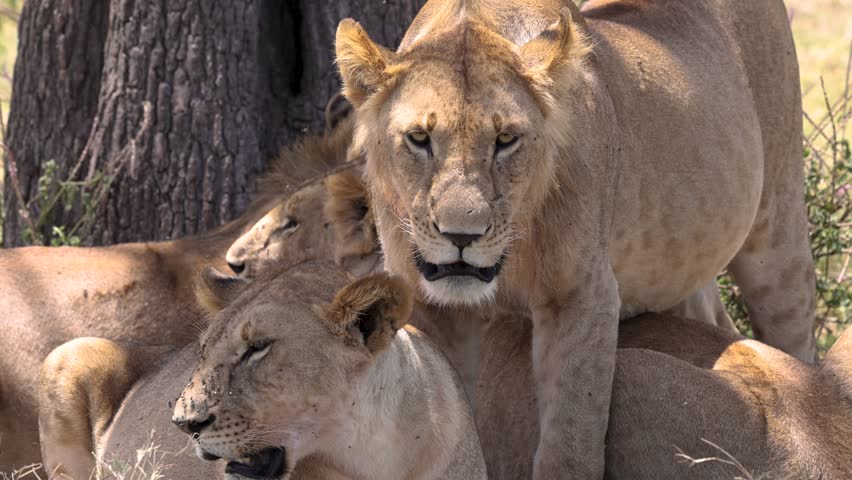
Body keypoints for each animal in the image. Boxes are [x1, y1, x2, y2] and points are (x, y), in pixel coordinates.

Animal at [334, 0, 816, 475]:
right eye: (419, 138)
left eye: (506, 139)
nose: (461, 235)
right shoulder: (433, 308)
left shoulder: (581, 295)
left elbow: (569, 444)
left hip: (778, 227)